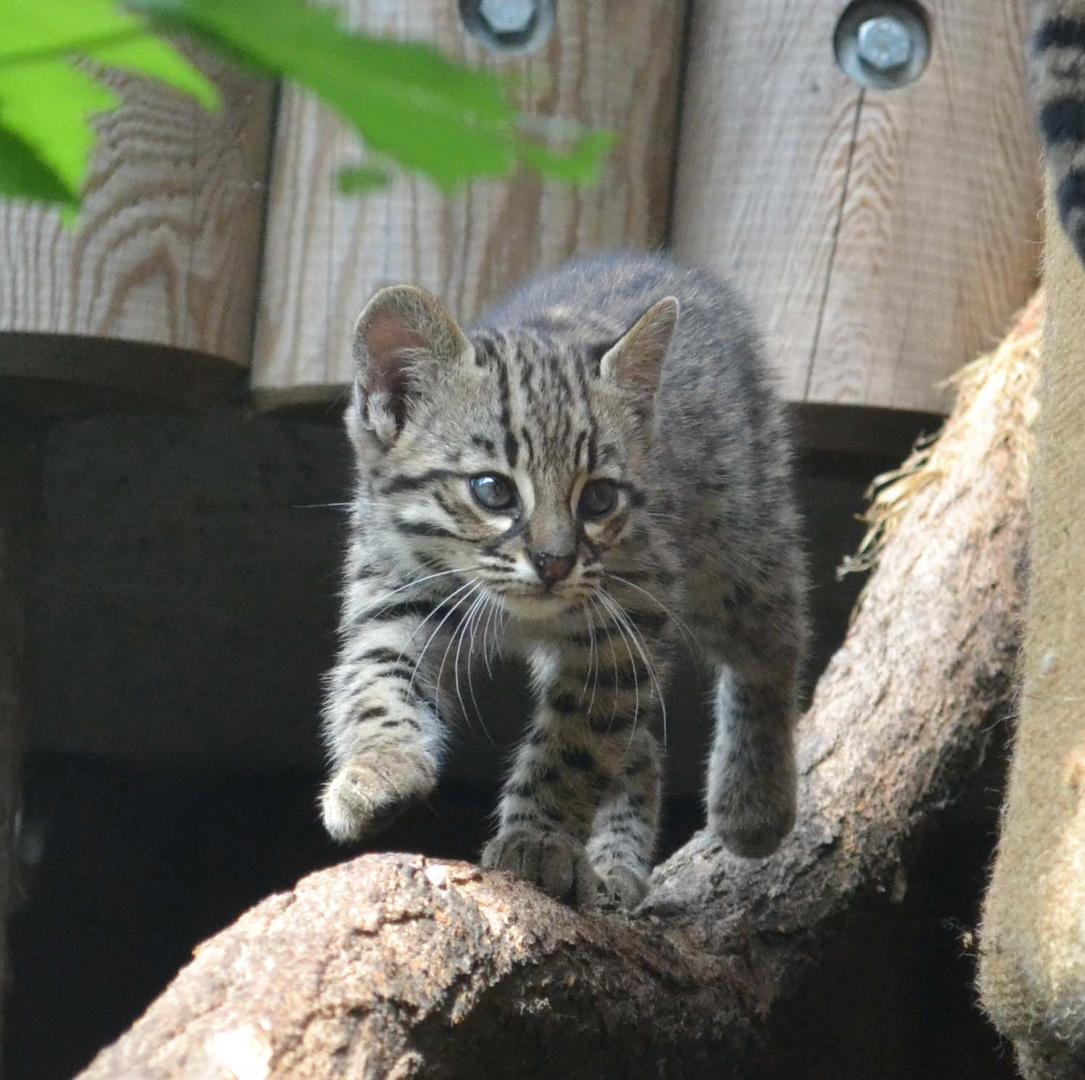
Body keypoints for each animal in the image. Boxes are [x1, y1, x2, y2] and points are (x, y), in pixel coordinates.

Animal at [318, 252, 807, 911]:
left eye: (598, 499)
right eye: (492, 490)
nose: (554, 562)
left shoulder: (621, 624)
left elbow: (576, 743)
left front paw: (539, 840)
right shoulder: (397, 595)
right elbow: (372, 685)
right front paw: (377, 767)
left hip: (740, 539)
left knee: (774, 643)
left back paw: (754, 803)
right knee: (641, 745)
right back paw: (614, 869)